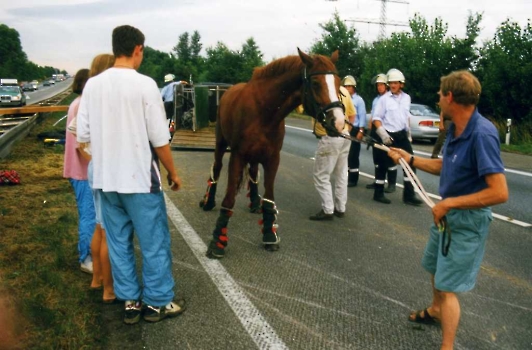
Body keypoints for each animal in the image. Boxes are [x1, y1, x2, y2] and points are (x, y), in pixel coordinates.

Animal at [200, 47, 344, 258]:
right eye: (316, 83)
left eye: (338, 83)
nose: (339, 122)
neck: (264, 110)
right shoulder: (237, 156)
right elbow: (229, 198)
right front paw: (218, 240)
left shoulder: (272, 158)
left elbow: (269, 198)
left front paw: (269, 234)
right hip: (220, 143)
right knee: (216, 168)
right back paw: (208, 201)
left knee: (253, 173)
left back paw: (254, 202)